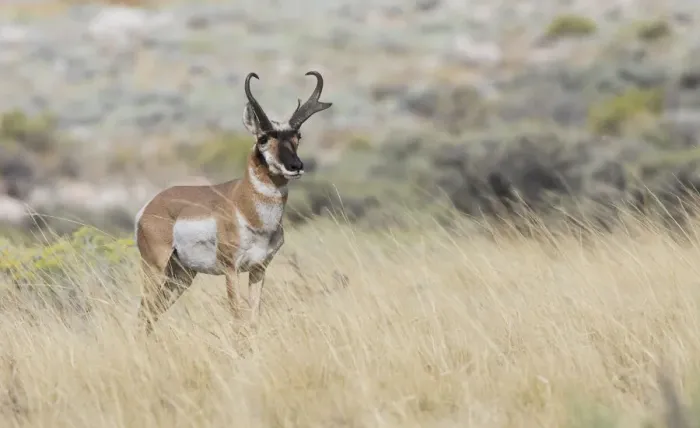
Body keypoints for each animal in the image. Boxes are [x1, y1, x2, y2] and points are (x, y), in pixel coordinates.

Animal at [134, 71, 332, 334]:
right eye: (262, 138)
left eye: (297, 136)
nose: (295, 166)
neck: (246, 208)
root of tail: (149, 206)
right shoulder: (231, 270)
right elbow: (238, 320)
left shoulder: (259, 270)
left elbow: (254, 319)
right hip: (155, 268)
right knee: (143, 313)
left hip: (181, 276)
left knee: (152, 313)